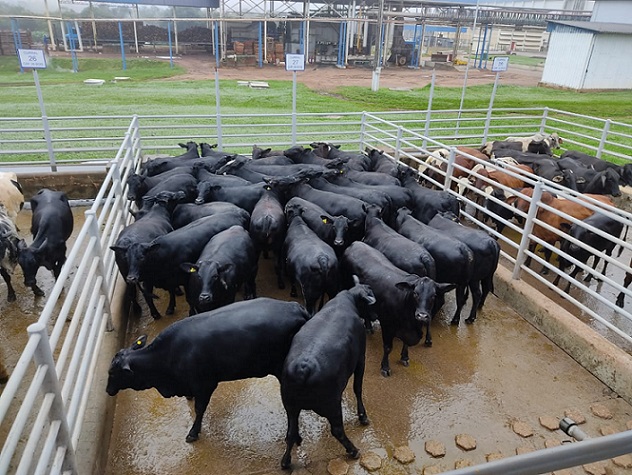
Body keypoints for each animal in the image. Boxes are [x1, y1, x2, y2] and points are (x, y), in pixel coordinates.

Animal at [108, 300, 312, 444]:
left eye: (113, 372)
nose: (108, 390)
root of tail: (296, 308)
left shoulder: (204, 384)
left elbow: (199, 409)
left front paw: (193, 432)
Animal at [282, 278, 376, 470]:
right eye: (370, 298)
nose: (376, 317)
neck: (348, 300)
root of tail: (304, 368)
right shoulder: (361, 359)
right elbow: (358, 388)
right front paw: (363, 416)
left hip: (290, 406)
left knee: (291, 432)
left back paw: (286, 462)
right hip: (332, 404)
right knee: (337, 430)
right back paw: (353, 450)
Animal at [344, 244, 456, 378]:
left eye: (433, 295)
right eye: (415, 293)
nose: (422, 316)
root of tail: (355, 243)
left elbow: (405, 343)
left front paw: (405, 357)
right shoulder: (387, 325)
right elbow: (388, 348)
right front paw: (385, 367)